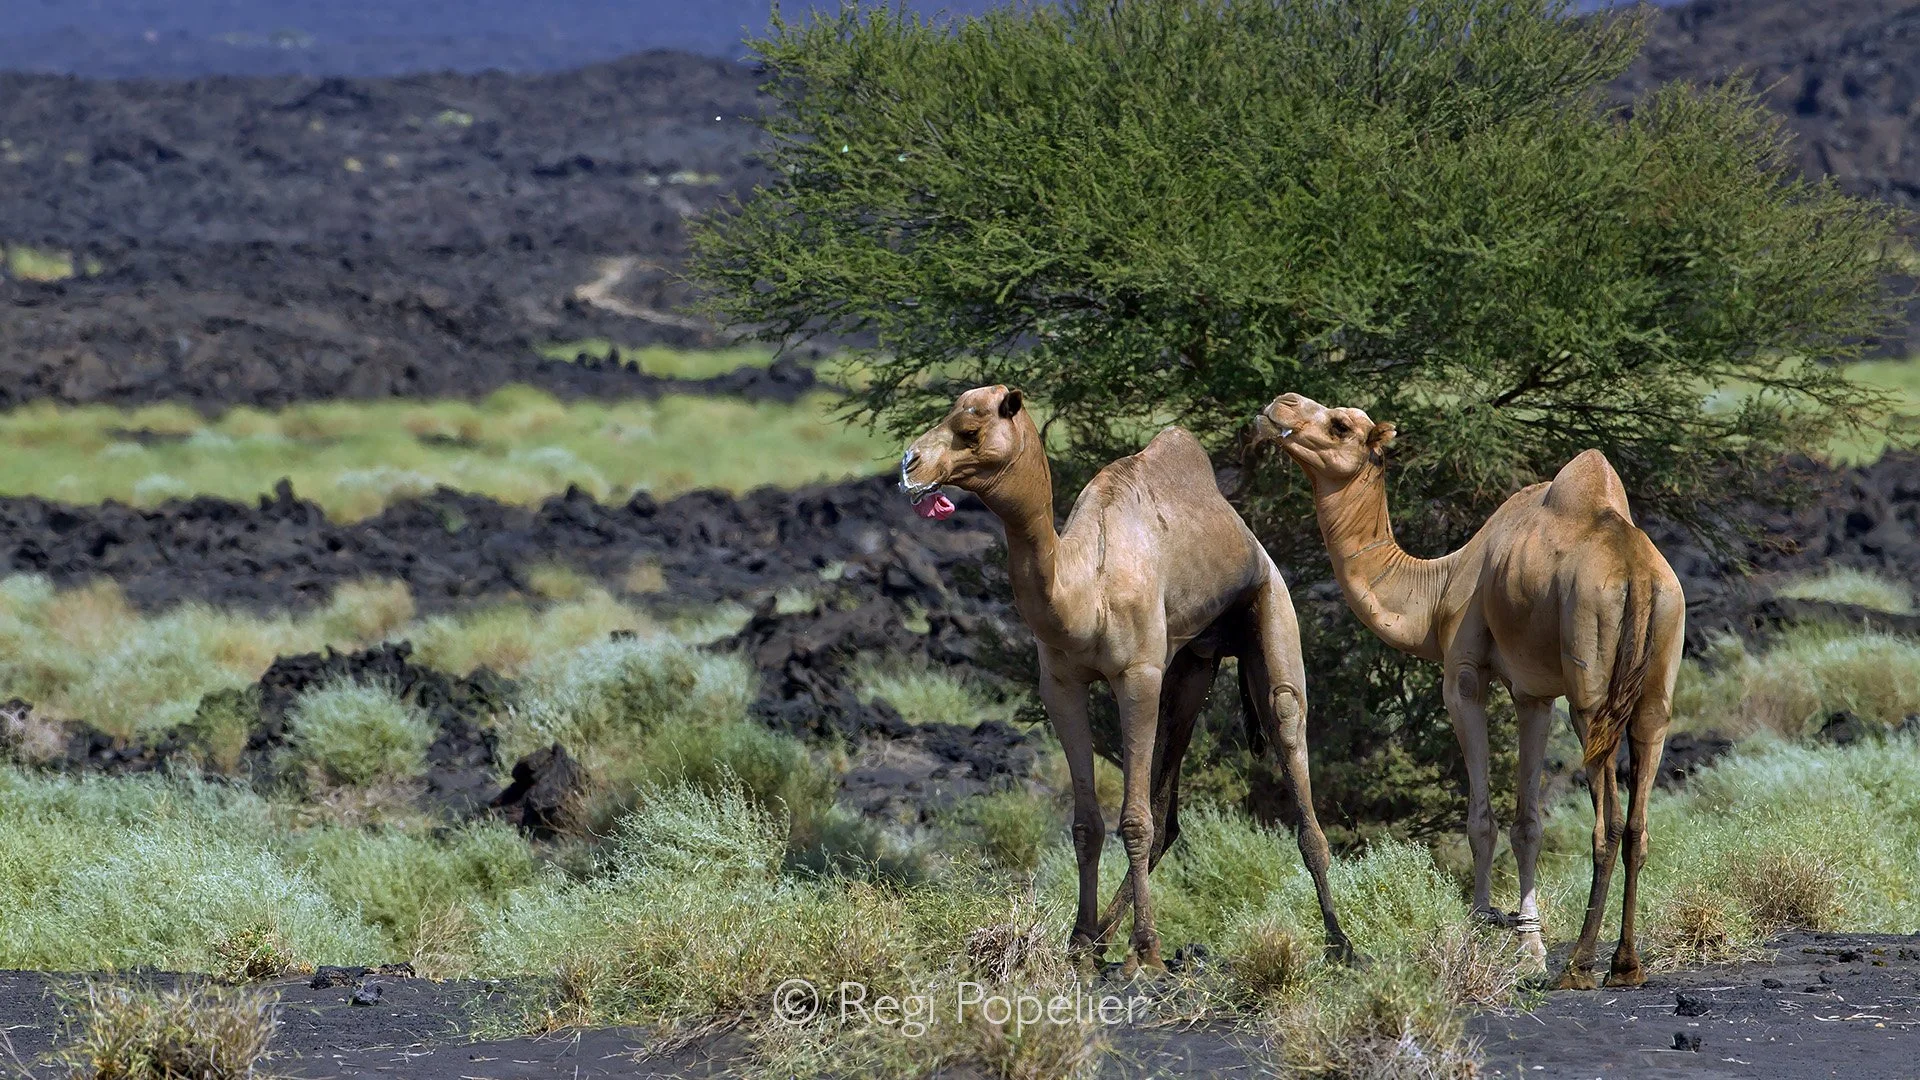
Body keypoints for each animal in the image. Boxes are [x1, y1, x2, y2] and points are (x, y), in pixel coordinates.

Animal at [901, 385, 1354, 971]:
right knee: (1169, 805)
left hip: (1271, 609)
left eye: (971, 431)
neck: (1084, 588)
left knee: (1287, 729)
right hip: (1191, 665)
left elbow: (1133, 821)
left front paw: (1148, 953)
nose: (910, 464)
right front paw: (1079, 942)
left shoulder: (1136, 675)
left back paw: (1341, 942)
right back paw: (1102, 938)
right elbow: (1086, 825)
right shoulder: (1061, 685)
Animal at [1255, 393, 1684, 990]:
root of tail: (1638, 573)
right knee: (1641, 819)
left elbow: (1481, 818)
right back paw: (1624, 964)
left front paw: (1484, 923)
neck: (1436, 589)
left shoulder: (1464, 675)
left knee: (1610, 822)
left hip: (1591, 687)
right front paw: (1528, 943)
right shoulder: (1533, 693)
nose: (1280, 405)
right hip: (1656, 681)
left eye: (1340, 425)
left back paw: (1579, 964)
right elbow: (1528, 822)